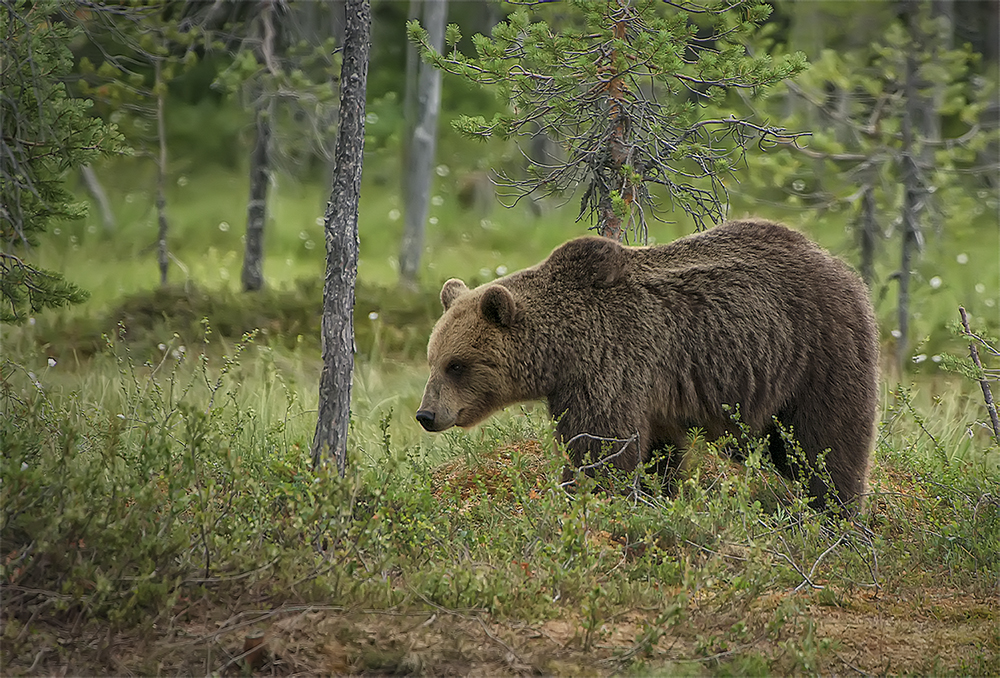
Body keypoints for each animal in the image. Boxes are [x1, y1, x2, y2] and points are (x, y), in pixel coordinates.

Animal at [414, 220, 876, 512]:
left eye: (457, 365)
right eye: (432, 361)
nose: (426, 414)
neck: (562, 350)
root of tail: (840, 266)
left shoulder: (610, 362)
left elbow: (601, 445)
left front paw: (588, 497)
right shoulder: (650, 390)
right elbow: (658, 450)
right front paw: (658, 493)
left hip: (815, 350)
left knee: (827, 439)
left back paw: (833, 509)